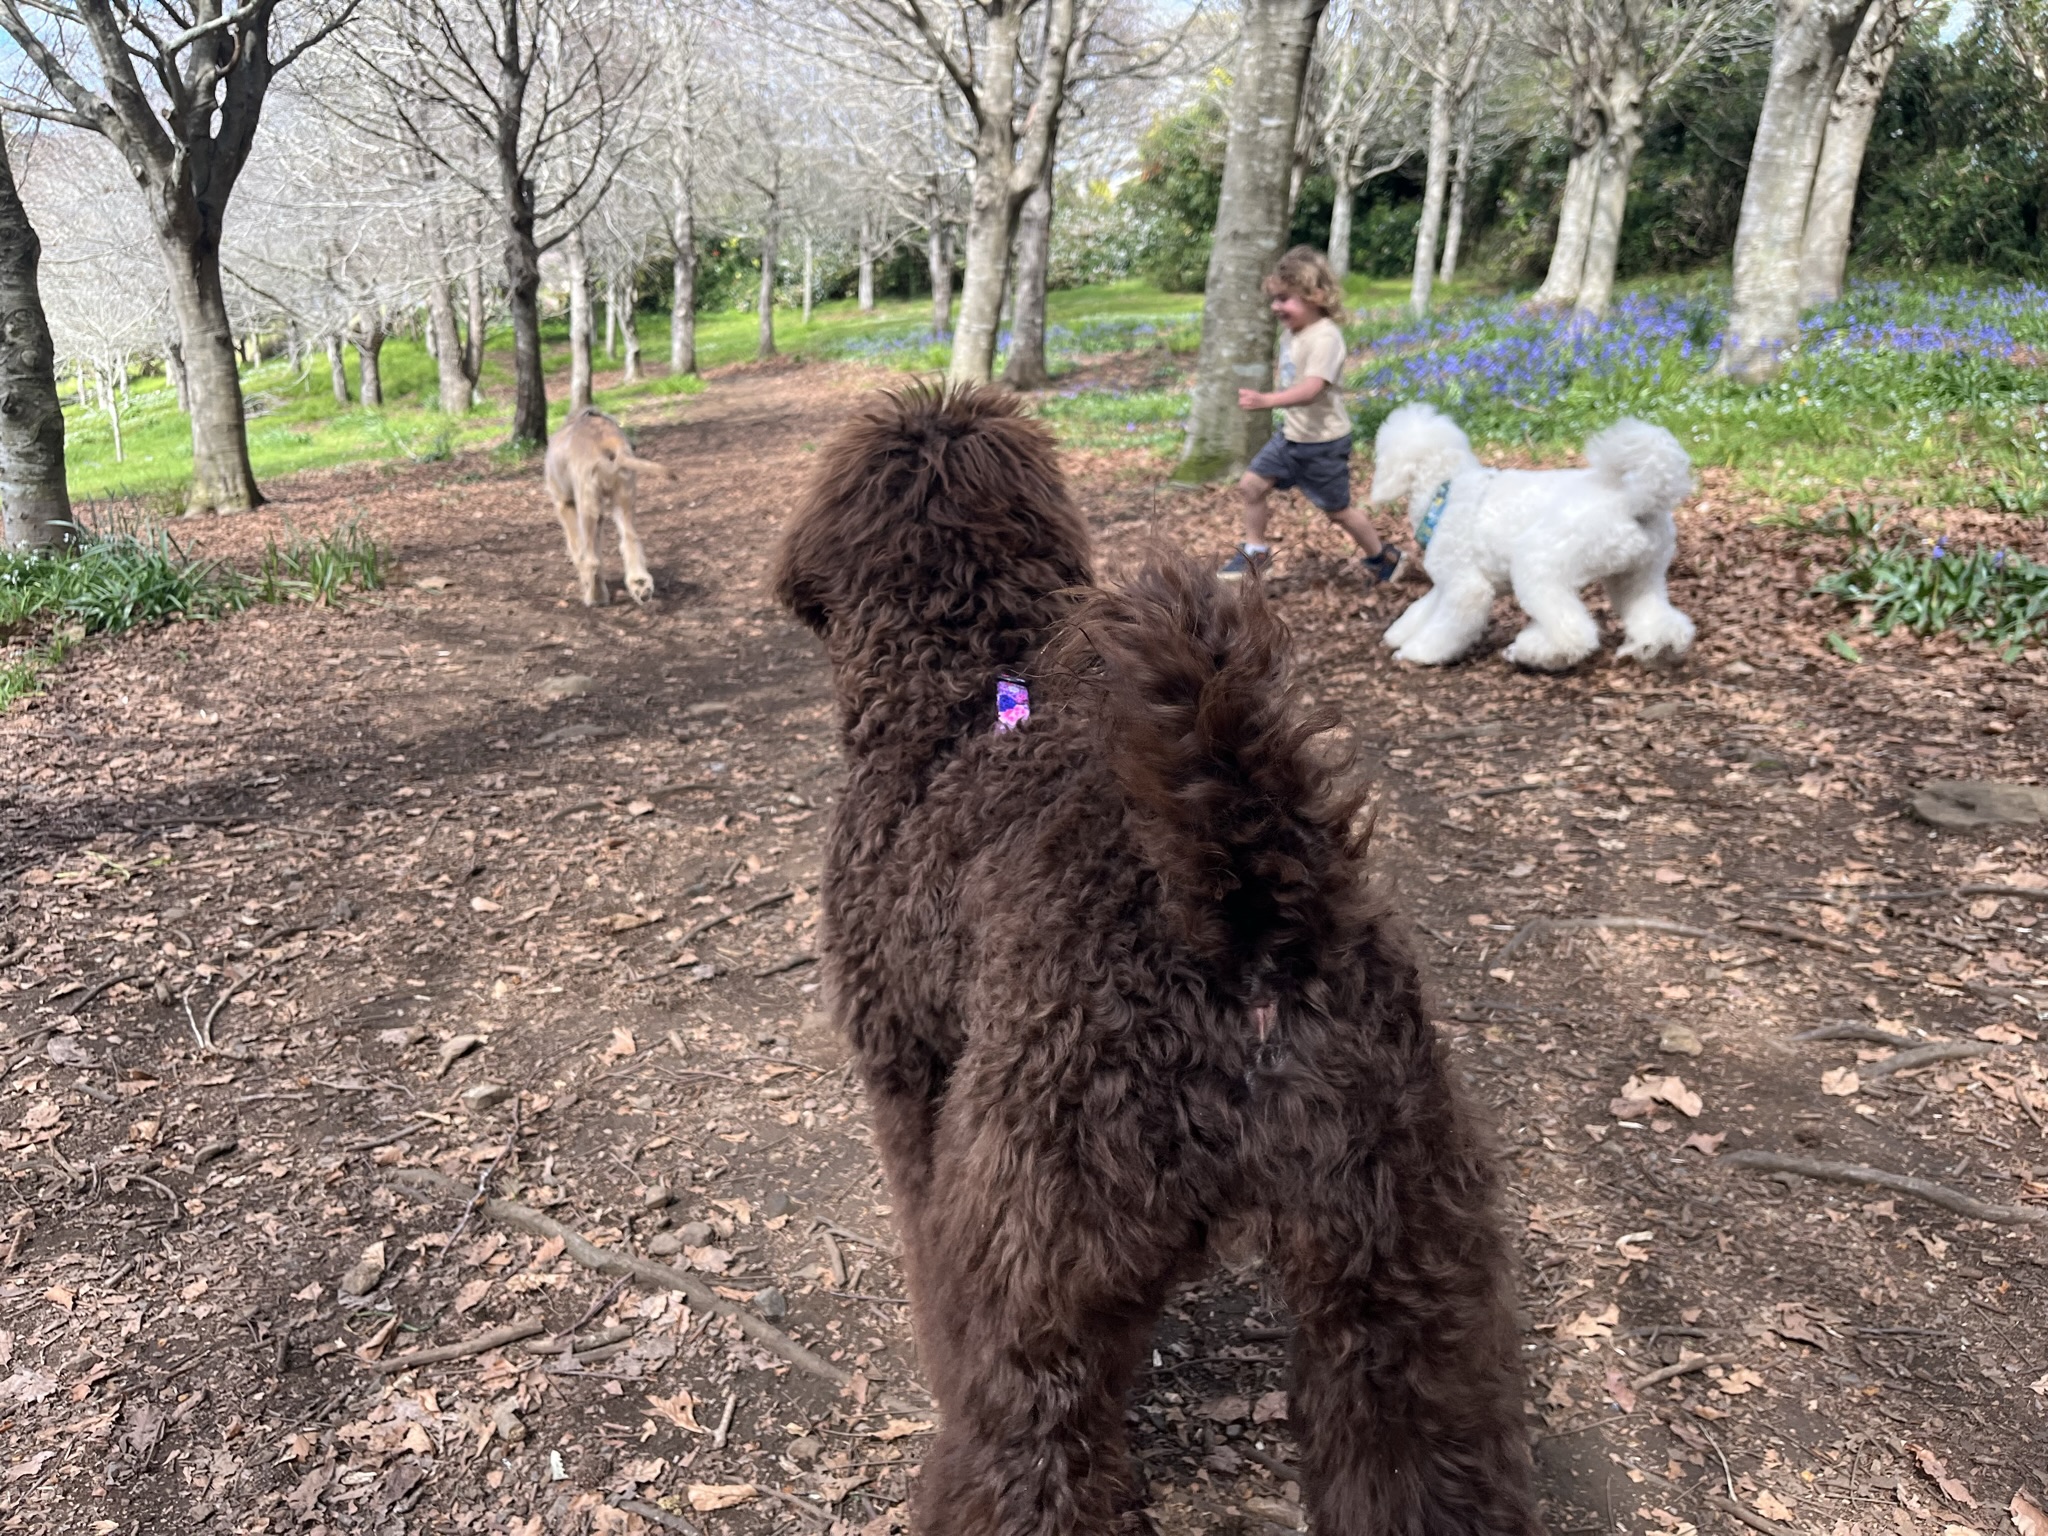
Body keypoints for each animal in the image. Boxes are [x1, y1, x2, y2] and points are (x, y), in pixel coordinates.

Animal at [544, 409, 671, 606]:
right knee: (630, 540)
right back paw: (640, 585)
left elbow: (577, 548)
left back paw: (595, 598)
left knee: (592, 561)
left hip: (587, 504)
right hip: (623, 498)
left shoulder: (565, 504)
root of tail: (608, 442)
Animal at [770, 385, 1540, 1536]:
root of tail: (1248, 929)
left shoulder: (908, 1074)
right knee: (1421, 1452)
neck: (961, 694)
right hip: (1396, 1262)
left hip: (1040, 1243)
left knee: (1027, 1450)